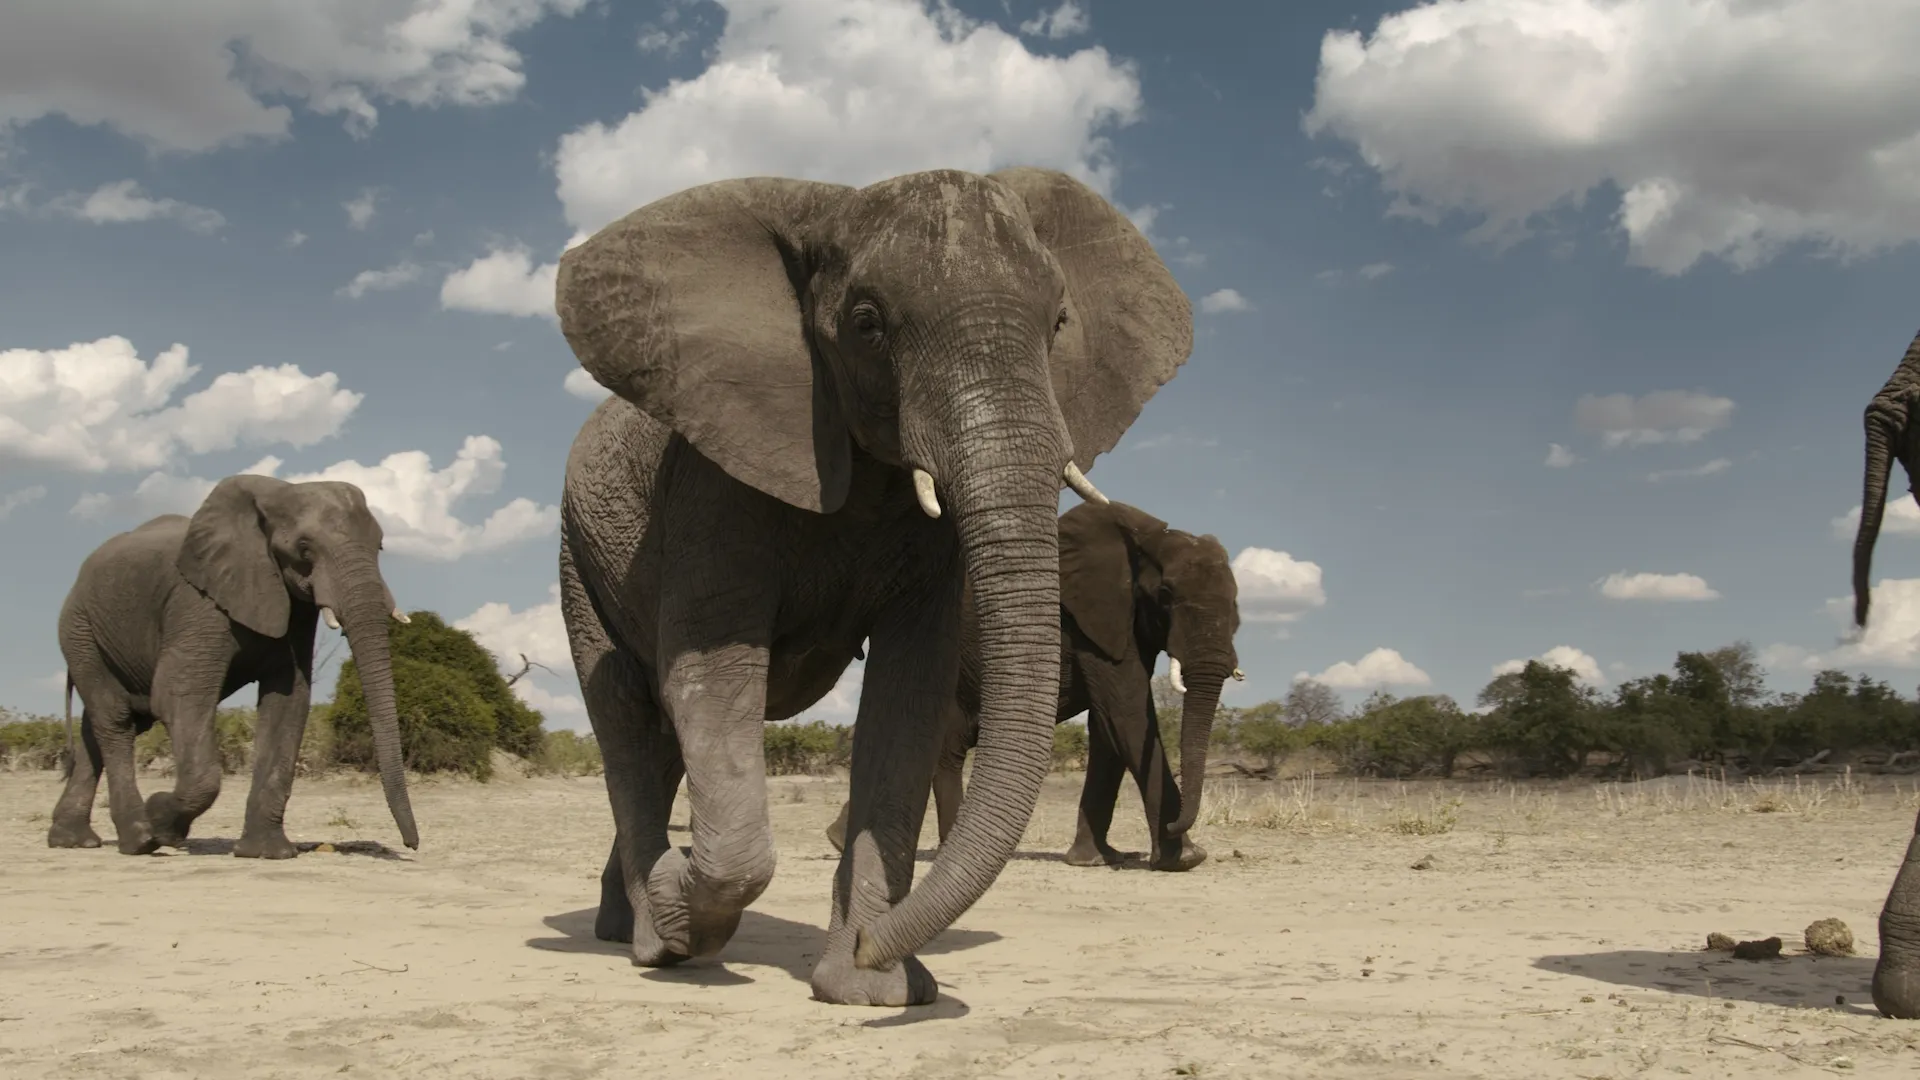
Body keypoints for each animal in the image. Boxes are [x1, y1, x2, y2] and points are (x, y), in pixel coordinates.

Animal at [47, 475, 418, 859]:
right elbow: (179, 694)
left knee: (101, 725)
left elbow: (287, 702)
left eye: (380, 546)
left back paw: (73, 840)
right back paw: (139, 838)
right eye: (304, 548)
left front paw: (266, 852)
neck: (275, 494)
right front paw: (162, 822)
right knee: (116, 718)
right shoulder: (196, 601)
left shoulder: (294, 608)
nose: (411, 844)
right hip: (79, 629)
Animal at [554, 166, 1190, 1006]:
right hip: (578, 550)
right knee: (627, 711)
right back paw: (652, 935)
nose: (874, 950)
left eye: (1058, 323)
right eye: (866, 324)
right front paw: (687, 913)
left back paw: (623, 923)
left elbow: (907, 693)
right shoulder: (710, 484)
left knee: (657, 741)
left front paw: (870, 987)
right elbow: (710, 675)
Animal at [823, 500, 1244, 871]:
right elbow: (1126, 715)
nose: (1174, 827)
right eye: (1166, 596)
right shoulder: (1089, 621)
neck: (1147, 540)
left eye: (1238, 604)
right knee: (944, 749)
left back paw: (840, 840)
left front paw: (1097, 859)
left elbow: (1107, 728)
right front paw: (1185, 859)